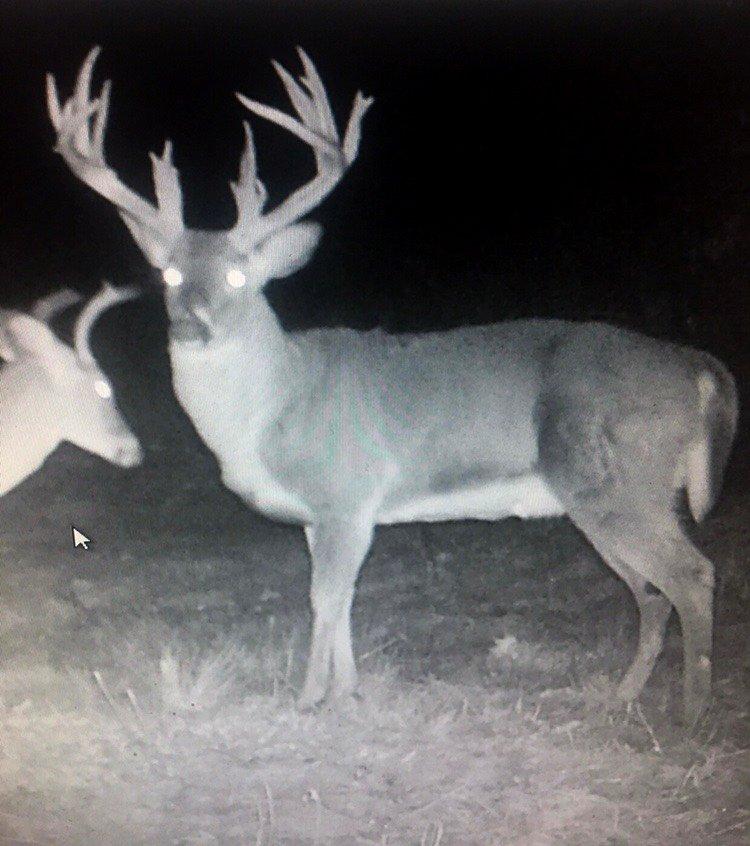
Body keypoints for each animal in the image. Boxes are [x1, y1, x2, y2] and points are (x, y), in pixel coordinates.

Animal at [46, 47, 738, 725]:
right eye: (167, 273)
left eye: (241, 275)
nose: (190, 325)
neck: (270, 406)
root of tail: (699, 366)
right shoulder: (325, 514)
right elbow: (344, 600)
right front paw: (349, 691)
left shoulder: (345, 493)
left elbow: (324, 599)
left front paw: (310, 698)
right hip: (607, 498)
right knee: (653, 593)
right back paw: (622, 698)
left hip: (620, 482)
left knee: (692, 575)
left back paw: (692, 715)